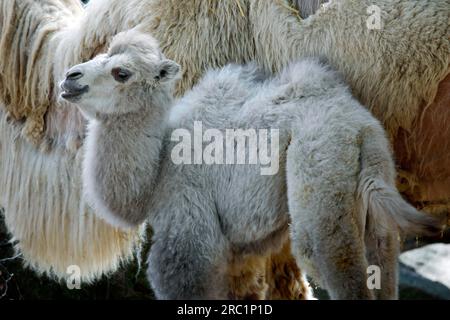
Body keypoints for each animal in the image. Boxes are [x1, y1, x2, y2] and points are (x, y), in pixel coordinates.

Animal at [59, 30, 440, 300]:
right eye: (99, 55)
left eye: (121, 72)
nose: (69, 78)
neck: (156, 174)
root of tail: (361, 126)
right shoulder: (235, 252)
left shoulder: (188, 225)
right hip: (377, 187)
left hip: (321, 175)